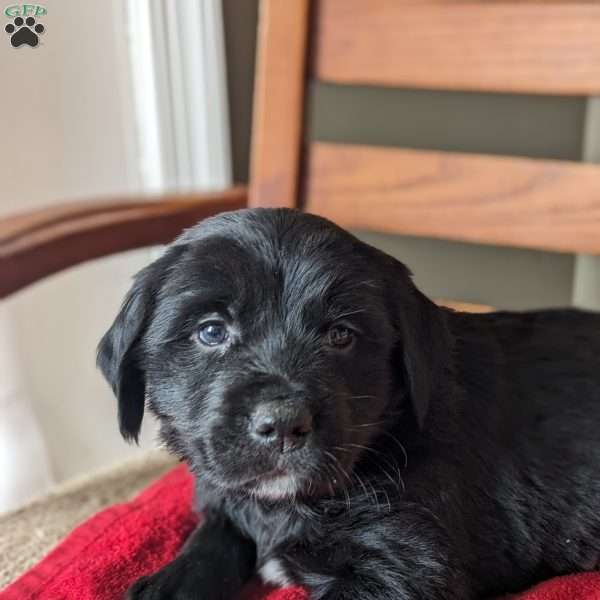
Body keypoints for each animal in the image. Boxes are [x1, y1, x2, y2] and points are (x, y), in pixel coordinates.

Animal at [98, 207, 600, 600]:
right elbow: (211, 539)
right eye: (211, 331)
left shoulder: (407, 564)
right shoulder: (226, 501)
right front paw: (164, 586)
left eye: (340, 335)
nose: (282, 425)